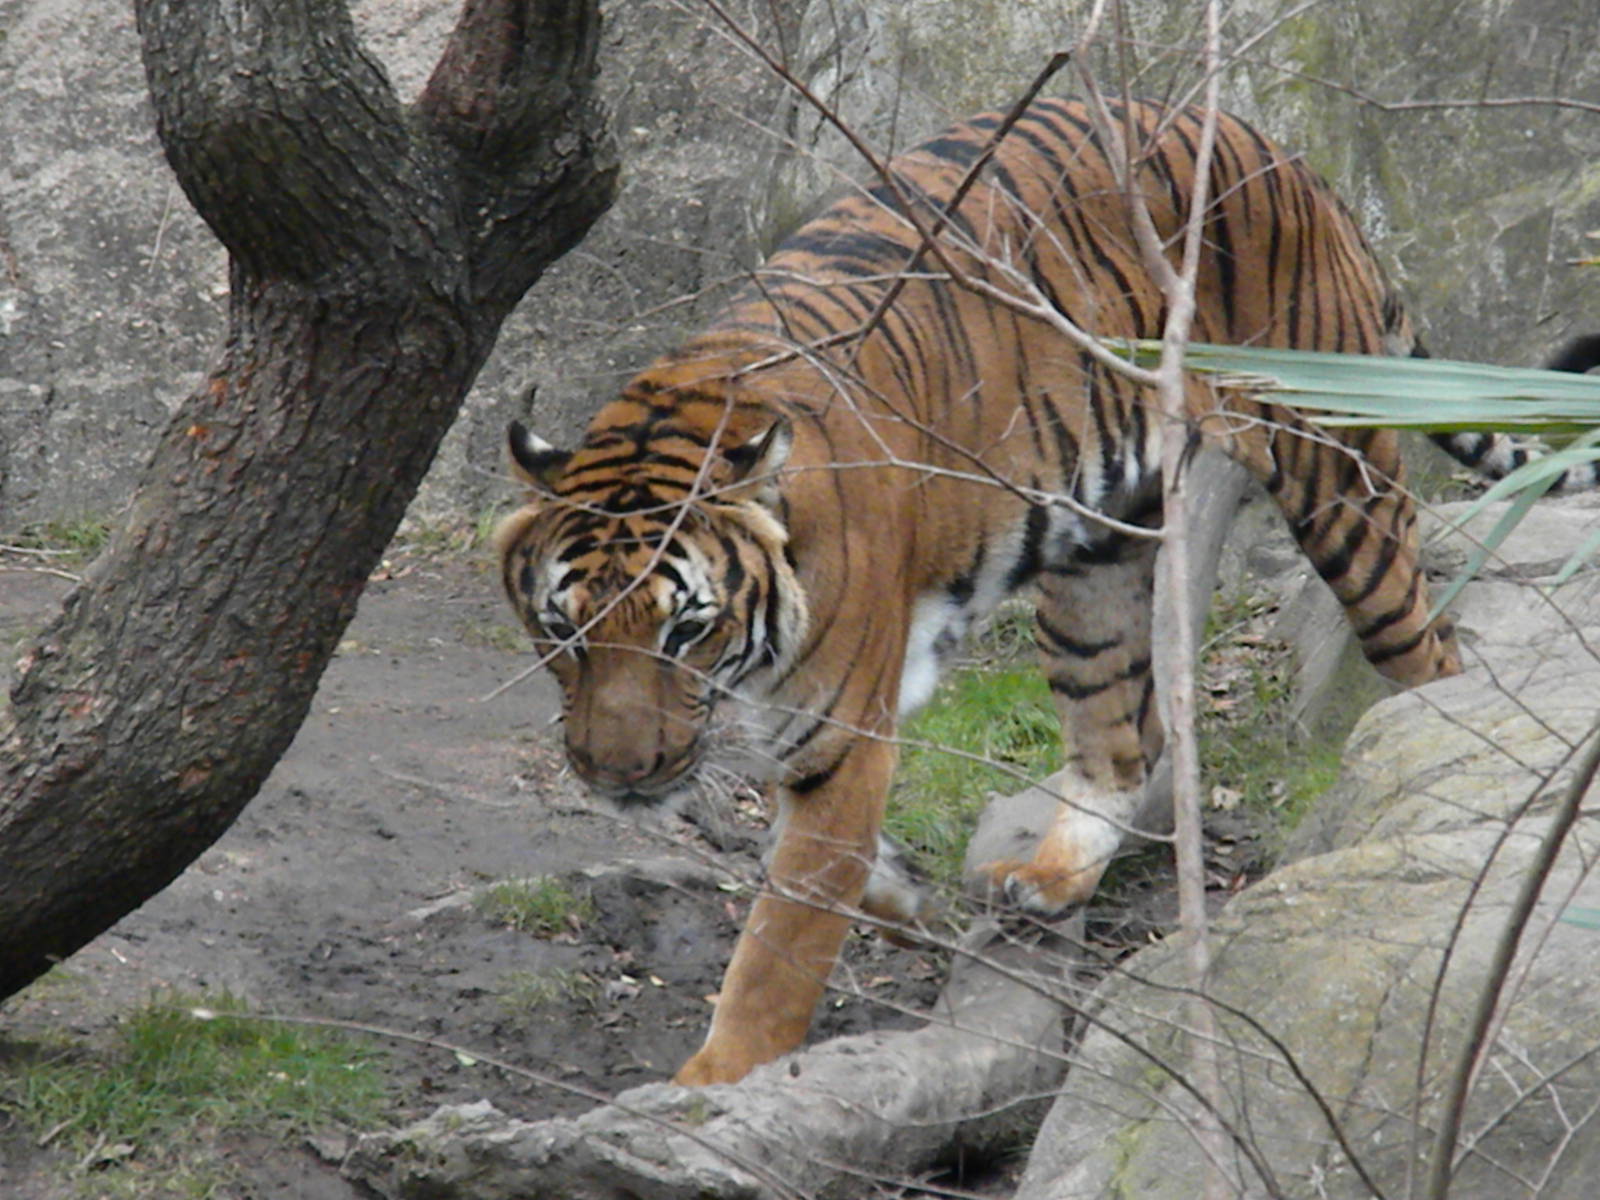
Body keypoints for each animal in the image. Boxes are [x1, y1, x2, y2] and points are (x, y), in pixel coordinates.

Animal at [496, 97, 1599, 1086]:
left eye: (684, 631)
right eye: (566, 635)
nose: (617, 774)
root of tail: (1290, 155)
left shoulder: (838, 731)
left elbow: (785, 933)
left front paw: (713, 1084)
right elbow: (819, 862)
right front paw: (911, 902)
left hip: (1339, 476)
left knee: (1423, 653)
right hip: (1097, 564)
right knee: (1126, 741)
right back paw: (1048, 878)